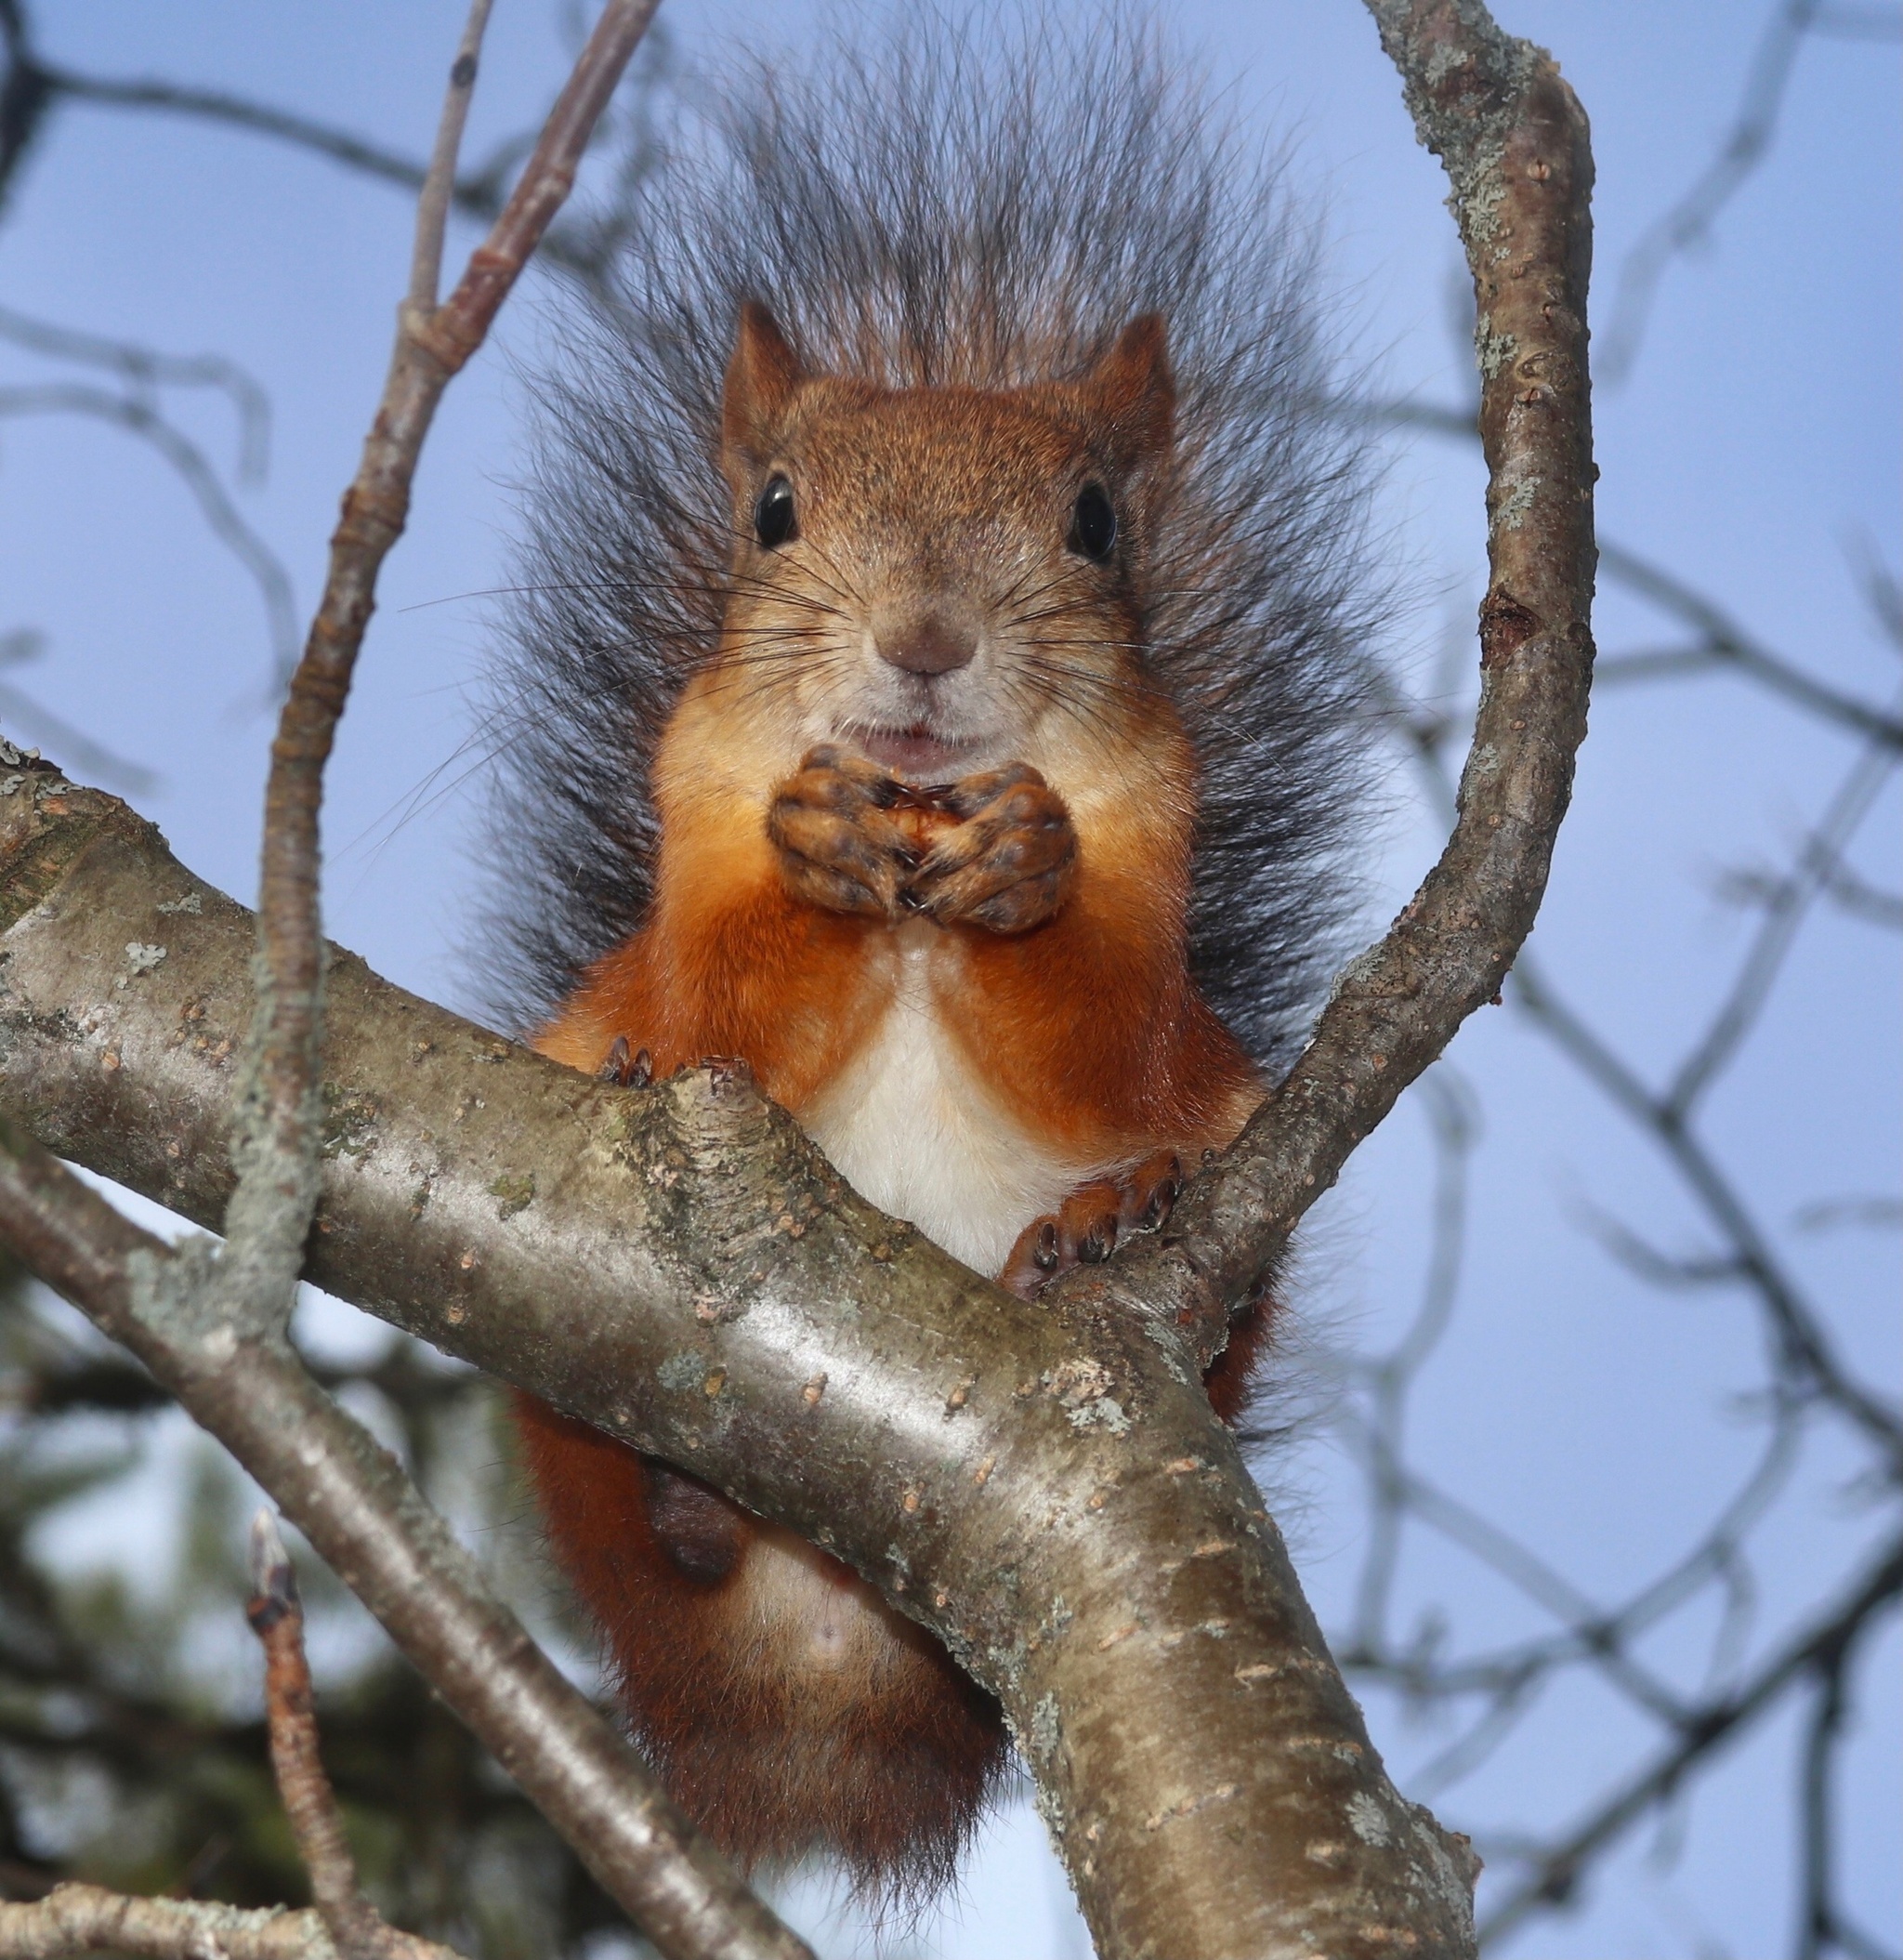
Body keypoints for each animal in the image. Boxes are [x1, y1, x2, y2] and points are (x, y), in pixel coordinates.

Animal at [492, 22, 1379, 1904]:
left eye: (1096, 519)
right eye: (770, 510)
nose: (922, 638)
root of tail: (815, 1729)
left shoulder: (1158, 962)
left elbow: (1108, 1039)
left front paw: (1028, 877)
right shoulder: (675, 927)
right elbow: (705, 1009)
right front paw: (810, 857)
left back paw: (1105, 1219)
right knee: (617, 1529)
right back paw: (677, 1500)